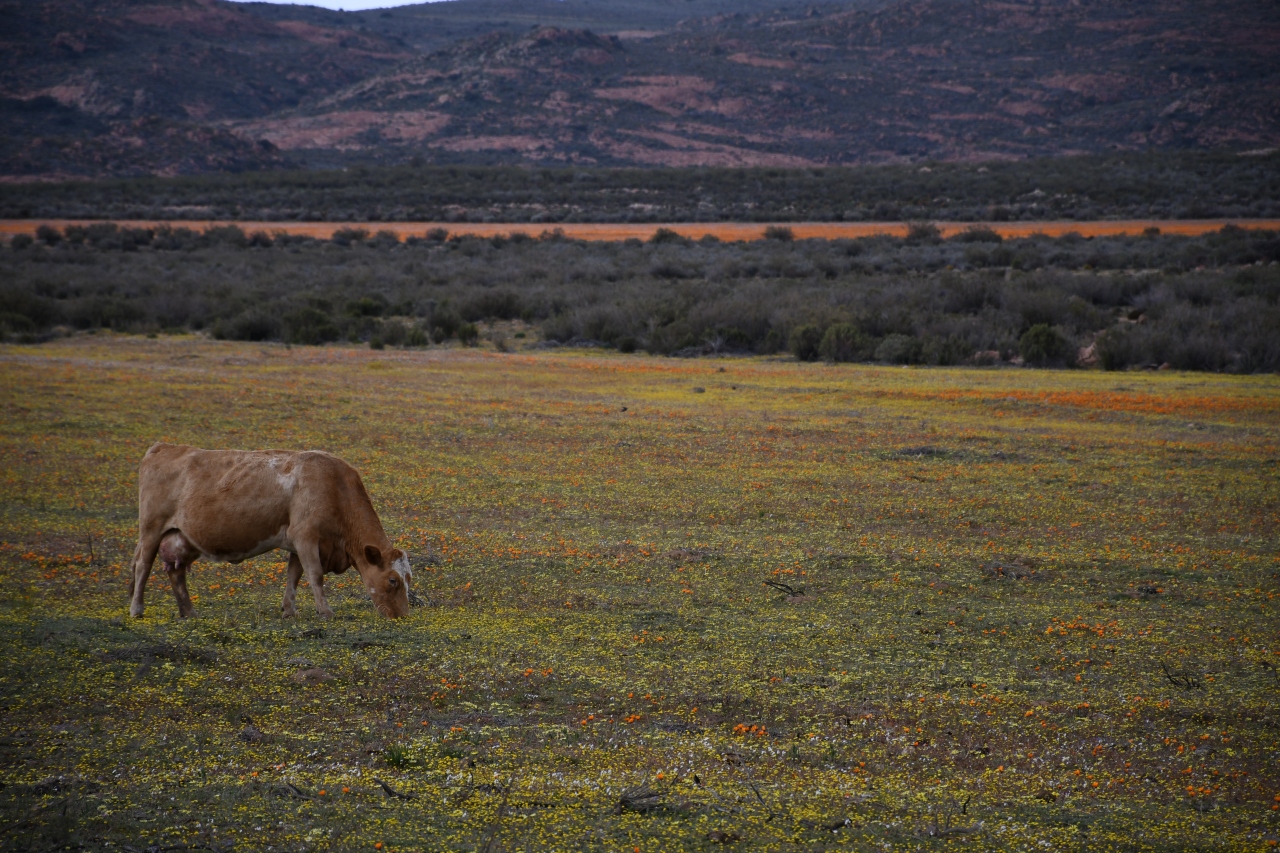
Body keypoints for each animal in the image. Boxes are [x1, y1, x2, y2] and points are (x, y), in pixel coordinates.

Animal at [129, 438, 409, 617]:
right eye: (393, 580)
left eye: (408, 578)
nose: (402, 615)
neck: (334, 485)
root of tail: (163, 447)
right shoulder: (306, 535)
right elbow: (315, 574)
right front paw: (325, 611)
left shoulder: (297, 543)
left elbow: (294, 575)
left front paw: (289, 610)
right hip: (151, 528)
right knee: (143, 565)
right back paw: (137, 609)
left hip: (182, 538)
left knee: (177, 573)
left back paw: (189, 612)